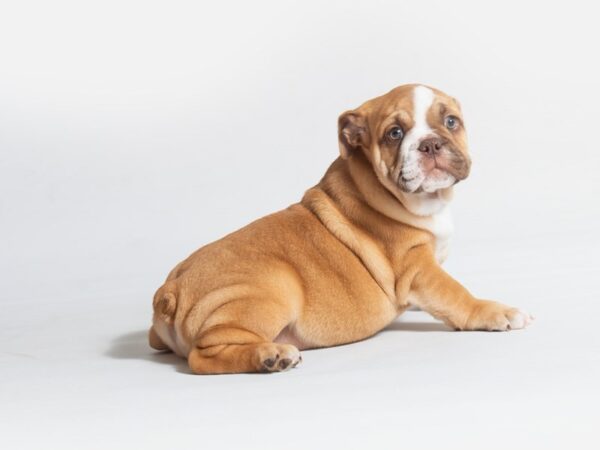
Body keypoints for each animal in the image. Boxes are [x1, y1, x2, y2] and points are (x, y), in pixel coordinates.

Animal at [150, 83, 536, 372]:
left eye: (451, 121)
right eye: (394, 133)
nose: (430, 143)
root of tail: (170, 290)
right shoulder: (416, 267)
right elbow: (456, 294)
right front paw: (495, 312)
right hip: (270, 288)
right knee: (204, 355)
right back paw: (270, 355)